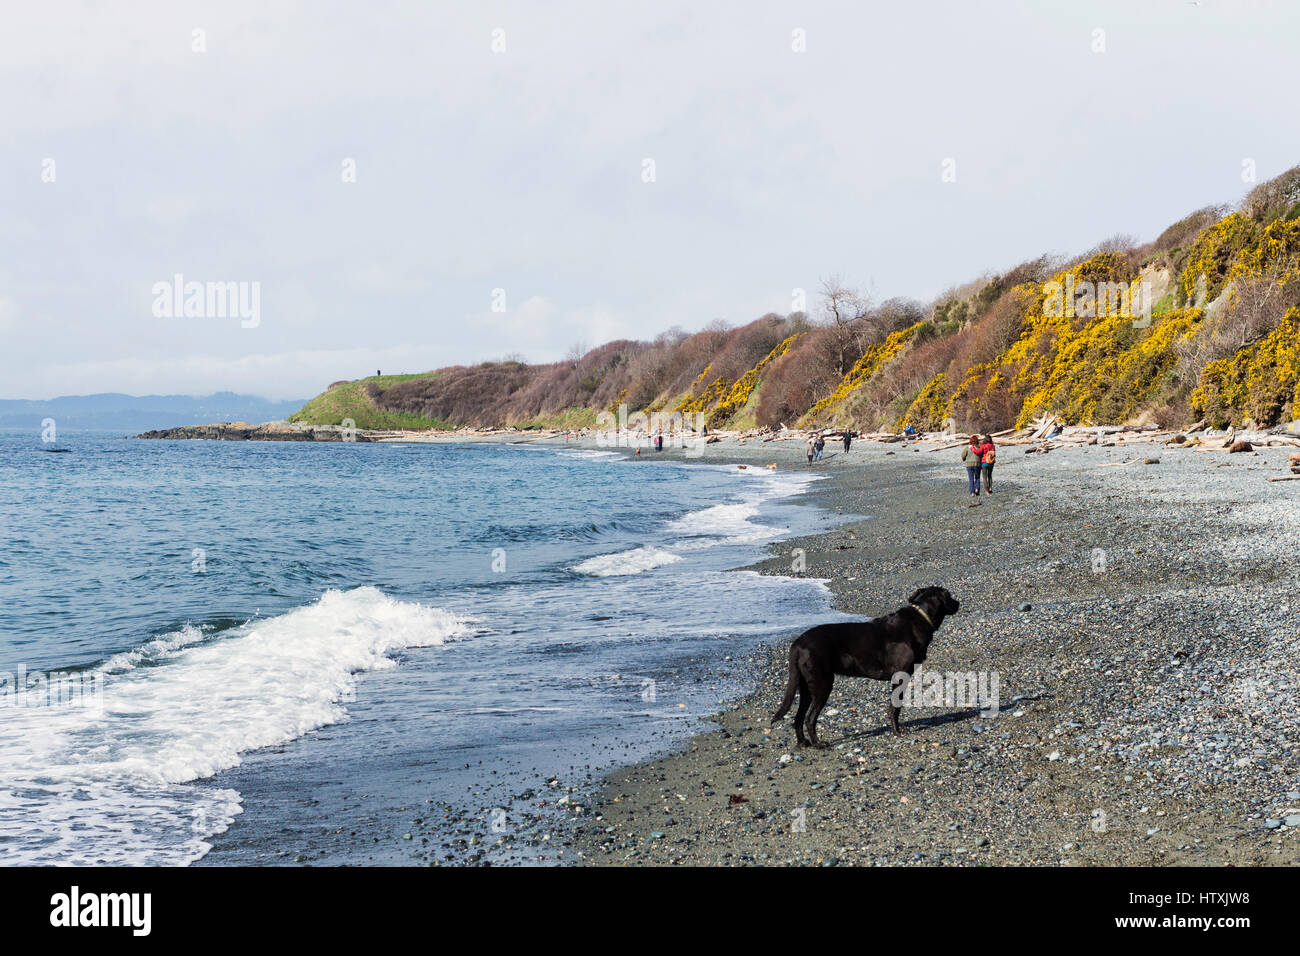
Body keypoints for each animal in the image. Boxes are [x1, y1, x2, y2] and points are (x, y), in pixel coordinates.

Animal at [764, 582, 961, 749]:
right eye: (949, 595)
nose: (959, 602)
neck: (920, 618)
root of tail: (797, 644)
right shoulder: (901, 676)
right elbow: (895, 708)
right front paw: (897, 731)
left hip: (805, 686)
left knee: (798, 718)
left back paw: (803, 742)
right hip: (822, 684)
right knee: (809, 718)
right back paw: (819, 744)